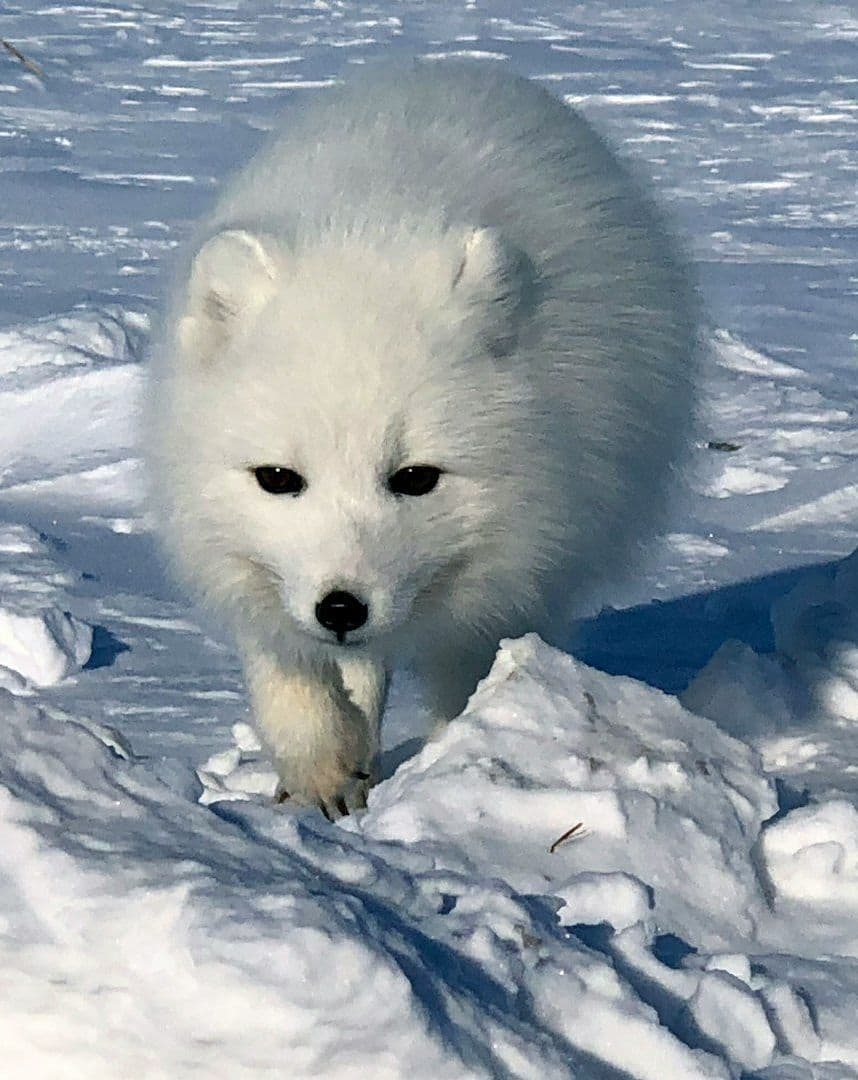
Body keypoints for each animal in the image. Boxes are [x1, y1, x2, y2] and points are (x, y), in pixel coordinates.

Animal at [146, 61, 695, 816]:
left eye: (415, 478)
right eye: (278, 479)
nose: (341, 608)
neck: (369, 225)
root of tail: (459, 66)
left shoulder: (513, 579)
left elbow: (467, 678)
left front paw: (460, 767)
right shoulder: (249, 568)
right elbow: (291, 680)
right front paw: (321, 776)